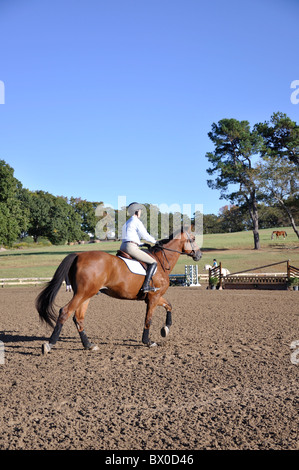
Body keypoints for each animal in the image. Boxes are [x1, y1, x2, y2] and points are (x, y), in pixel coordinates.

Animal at [36, 226, 203, 354]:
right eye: (193, 239)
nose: (199, 255)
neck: (161, 262)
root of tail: (78, 255)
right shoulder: (153, 298)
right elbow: (148, 319)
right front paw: (148, 341)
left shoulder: (155, 296)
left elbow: (169, 306)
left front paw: (165, 329)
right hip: (83, 293)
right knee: (65, 312)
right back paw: (49, 345)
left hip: (87, 295)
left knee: (78, 318)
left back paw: (89, 345)